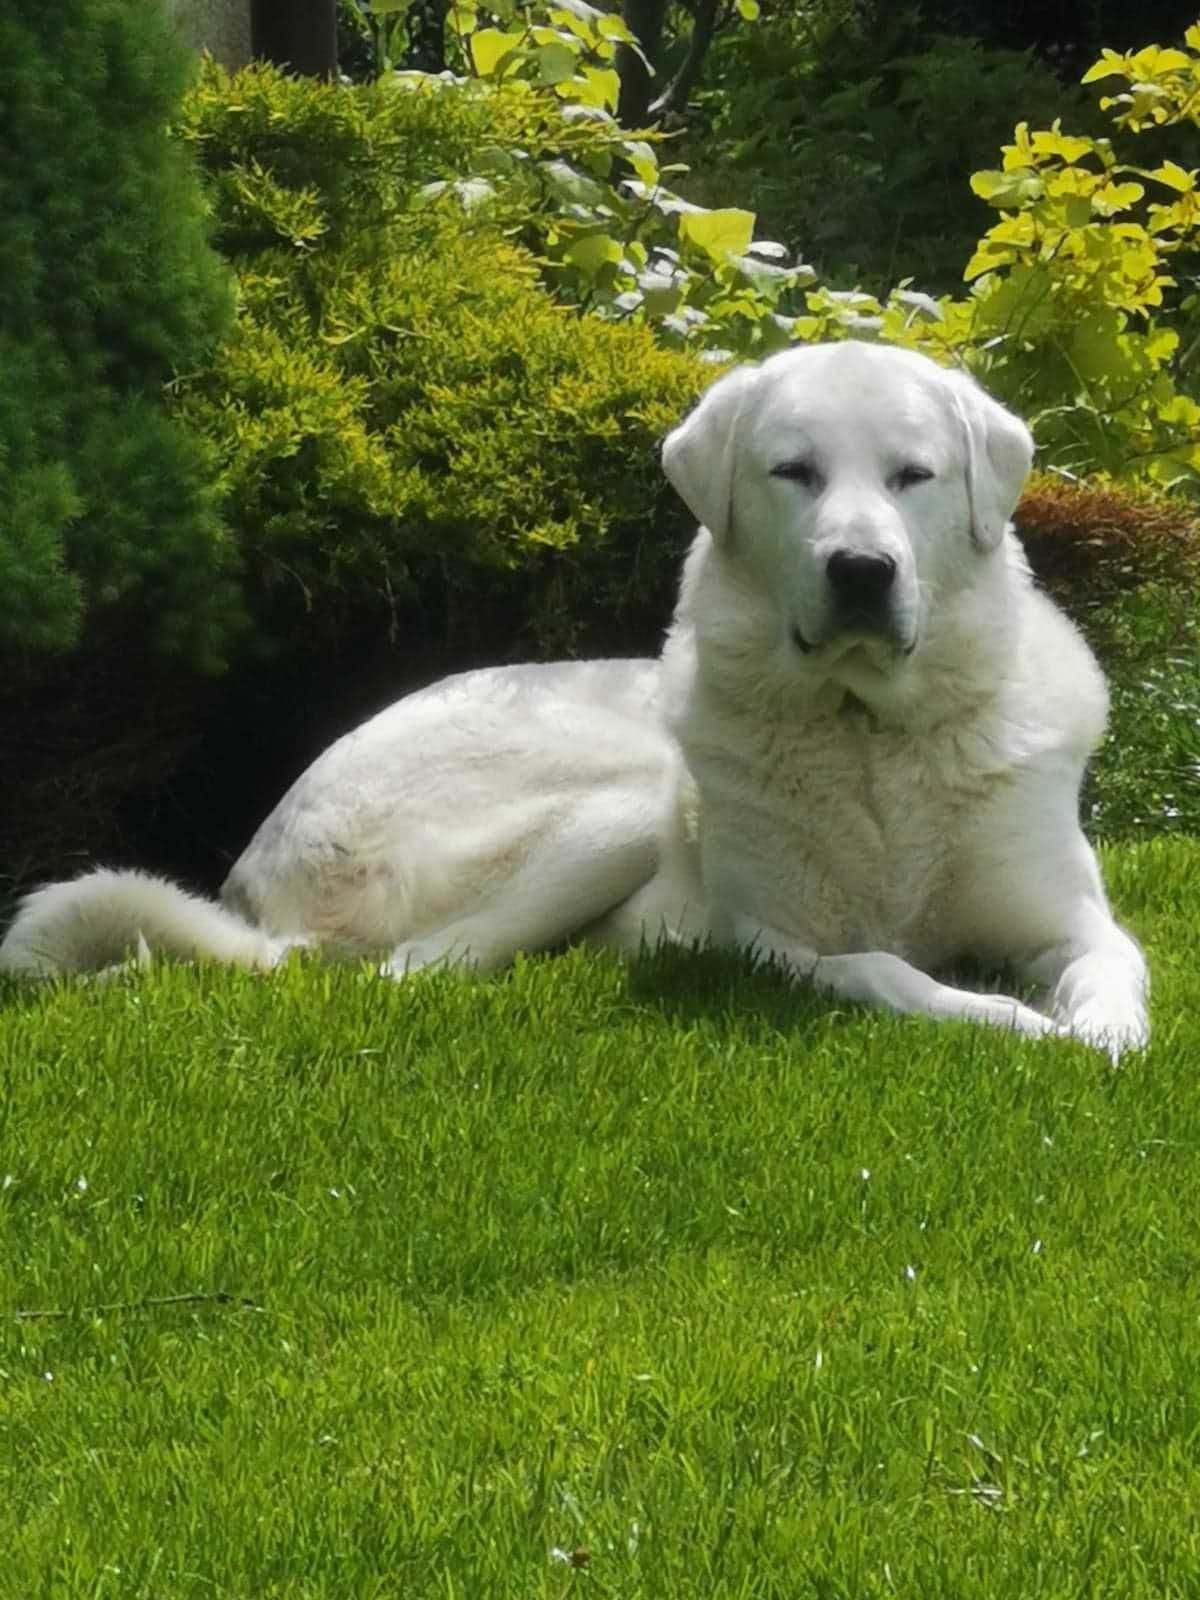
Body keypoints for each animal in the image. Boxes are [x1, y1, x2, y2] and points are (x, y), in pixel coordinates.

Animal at [0, 344, 1152, 1056]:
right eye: (795, 472)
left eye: (914, 475)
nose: (863, 569)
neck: (871, 732)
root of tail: (254, 873)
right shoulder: (761, 942)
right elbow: (879, 968)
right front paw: (1009, 1022)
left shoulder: (1075, 921)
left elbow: (1113, 977)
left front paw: (1099, 1039)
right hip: (621, 799)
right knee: (411, 970)